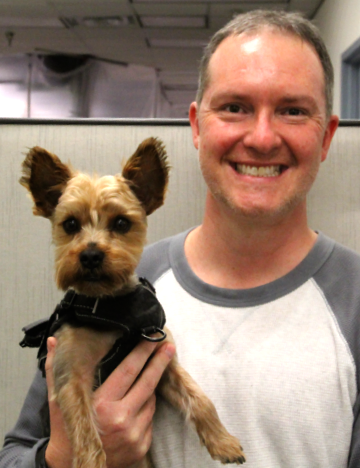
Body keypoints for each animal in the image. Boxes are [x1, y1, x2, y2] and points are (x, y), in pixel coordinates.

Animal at [19, 138, 245, 468]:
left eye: (122, 223)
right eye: (70, 224)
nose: (90, 255)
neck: (109, 309)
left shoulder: (161, 361)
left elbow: (199, 398)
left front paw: (222, 440)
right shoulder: (70, 377)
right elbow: (86, 432)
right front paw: (92, 462)